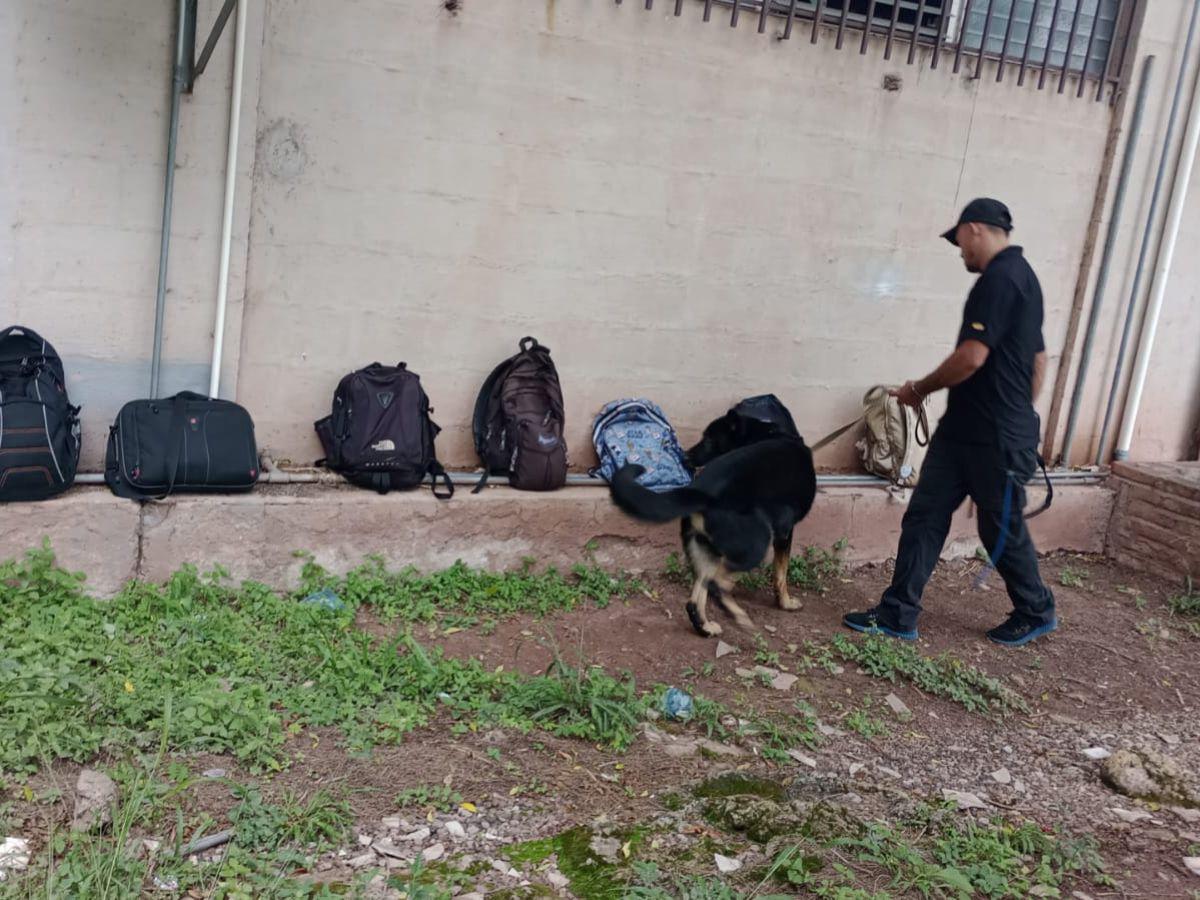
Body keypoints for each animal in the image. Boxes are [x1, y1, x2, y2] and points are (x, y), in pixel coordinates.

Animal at [609, 412, 816, 638]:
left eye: (709, 439)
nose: (684, 457)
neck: (765, 432)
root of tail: (702, 492)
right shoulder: (785, 532)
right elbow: (781, 572)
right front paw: (786, 603)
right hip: (755, 546)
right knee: (718, 584)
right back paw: (739, 616)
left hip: (706, 550)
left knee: (694, 599)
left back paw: (706, 627)